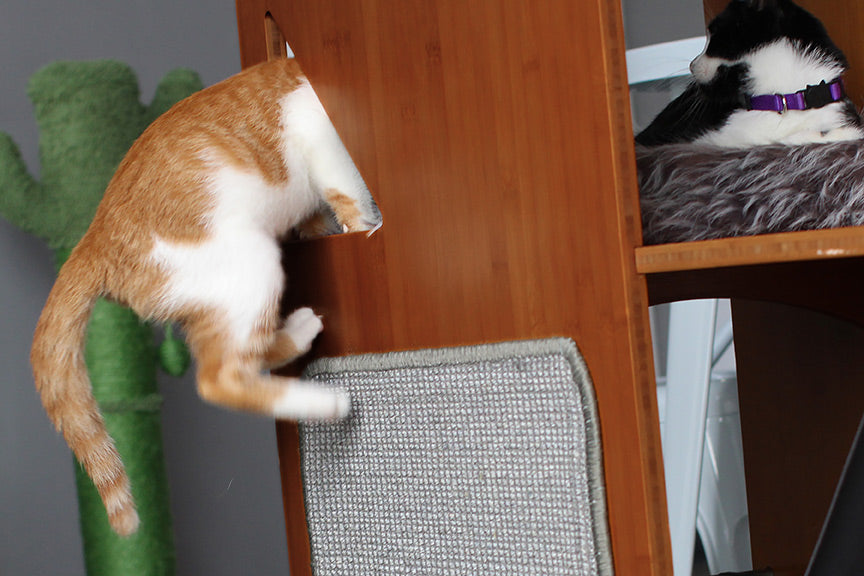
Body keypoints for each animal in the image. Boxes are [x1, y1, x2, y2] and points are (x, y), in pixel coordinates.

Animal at [31, 58, 382, 536]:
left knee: (242, 352)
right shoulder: (317, 128)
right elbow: (350, 191)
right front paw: (367, 226)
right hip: (251, 263)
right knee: (219, 379)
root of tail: (94, 239)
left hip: (215, 295)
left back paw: (297, 332)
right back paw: (324, 401)